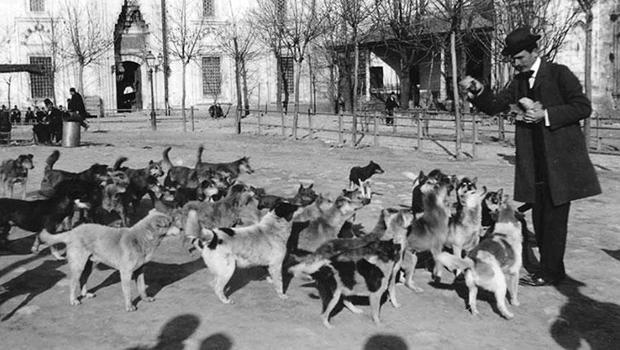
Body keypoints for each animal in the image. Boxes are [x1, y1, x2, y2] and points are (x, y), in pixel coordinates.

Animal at [39, 209, 177, 310]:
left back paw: (86, 294)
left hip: (90, 264)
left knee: (83, 279)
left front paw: (145, 299)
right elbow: (128, 292)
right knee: (73, 282)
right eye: (169, 223)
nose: (180, 229)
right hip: (79, 265)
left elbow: (142, 287)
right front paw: (129, 306)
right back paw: (73, 300)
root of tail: (72, 231)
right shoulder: (126, 273)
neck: (141, 238)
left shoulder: (140, 270)